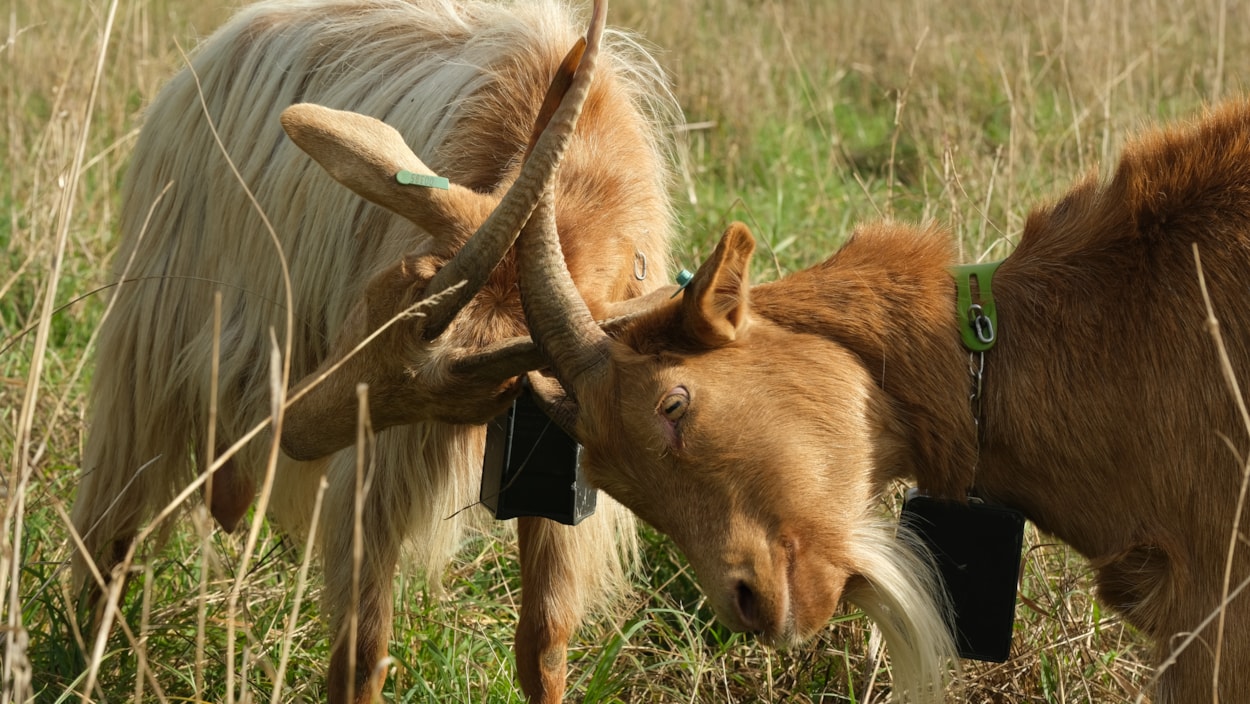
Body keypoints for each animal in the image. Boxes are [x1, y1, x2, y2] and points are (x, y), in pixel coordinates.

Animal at [70, 1, 676, 701]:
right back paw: (82, 659)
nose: (289, 430)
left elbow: (546, 640)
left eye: (480, 396)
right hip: (152, 340)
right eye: (376, 296)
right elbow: (363, 648)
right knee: (112, 519)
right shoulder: (375, 463)